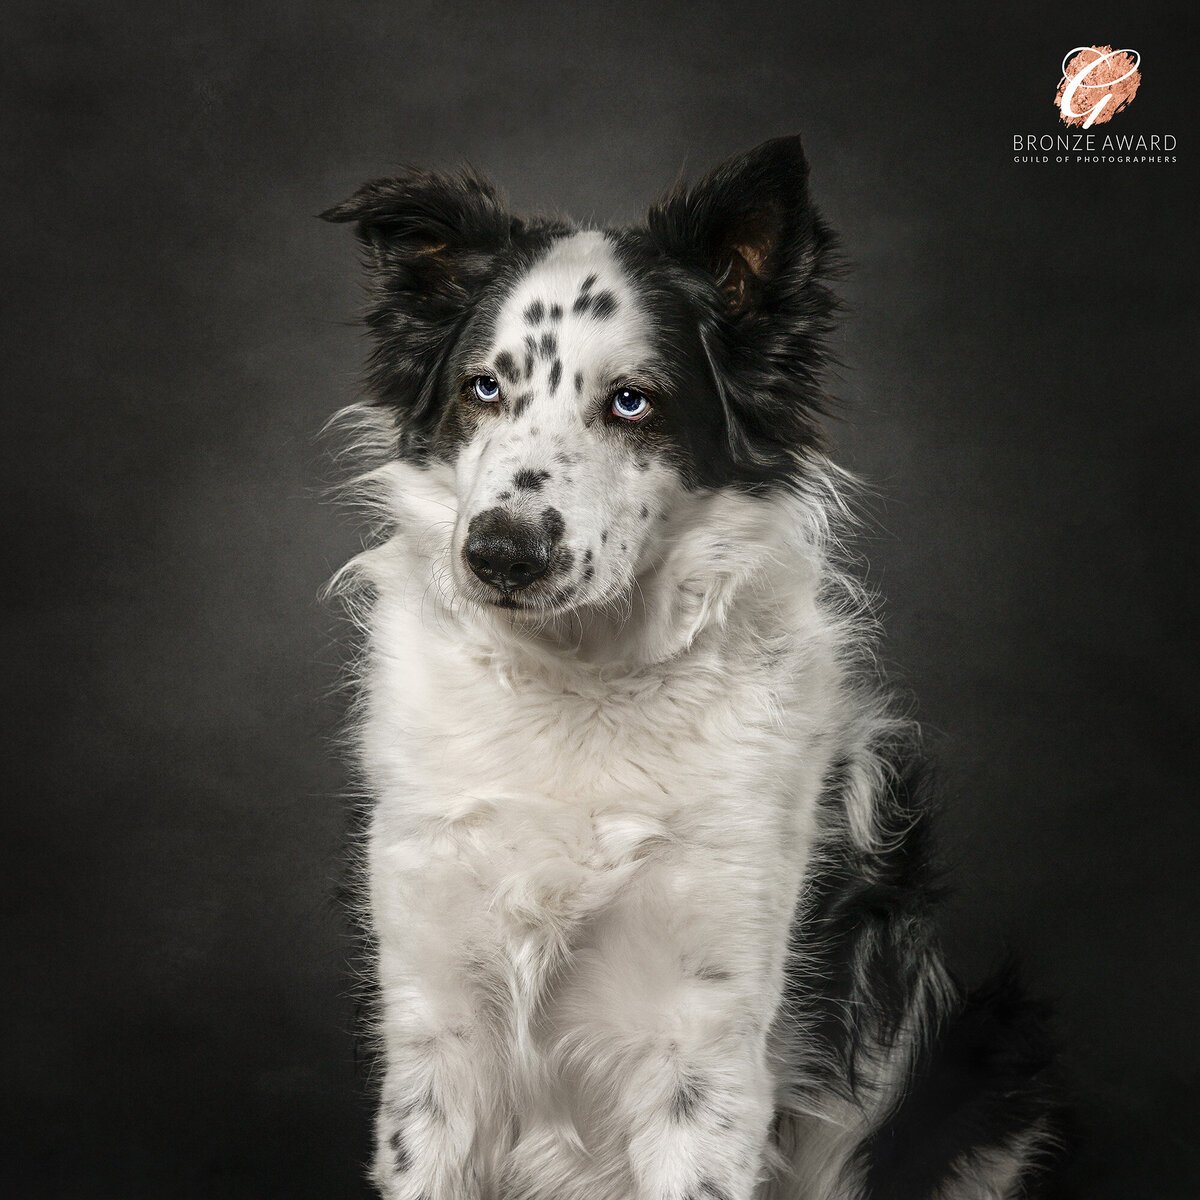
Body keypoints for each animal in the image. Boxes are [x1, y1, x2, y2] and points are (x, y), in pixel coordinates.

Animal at [321, 138, 1060, 1200]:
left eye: (633, 402)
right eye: (483, 389)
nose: (500, 554)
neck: (579, 691)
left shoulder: (702, 1054)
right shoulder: (434, 1026)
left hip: (998, 1070)